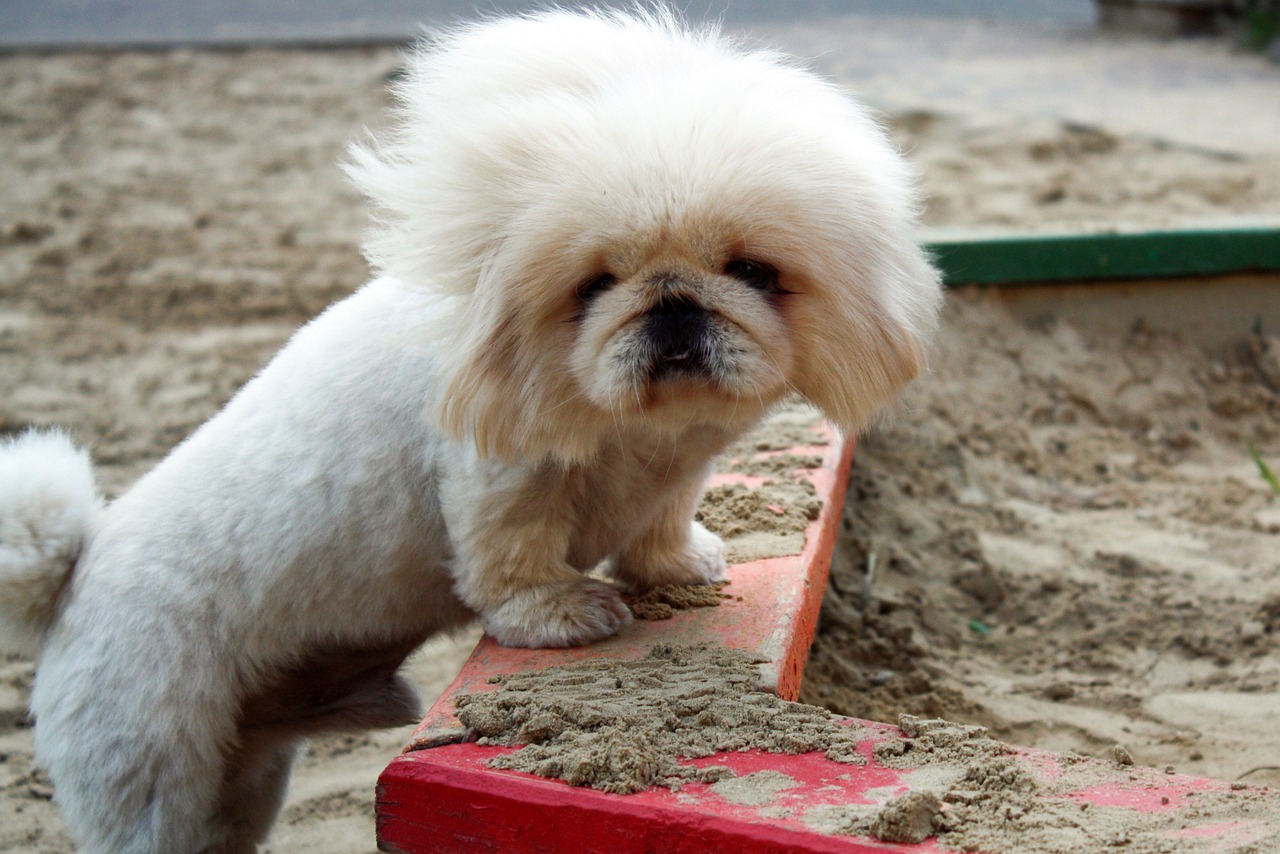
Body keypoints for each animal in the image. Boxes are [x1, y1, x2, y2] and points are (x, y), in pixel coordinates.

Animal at [0, 8, 942, 854]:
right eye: (595, 286)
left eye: (751, 270)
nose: (673, 301)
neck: (628, 427)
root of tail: (74, 579)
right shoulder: (504, 477)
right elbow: (511, 556)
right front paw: (562, 614)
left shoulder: (675, 472)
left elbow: (661, 524)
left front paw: (677, 568)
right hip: (157, 780)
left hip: (244, 783)